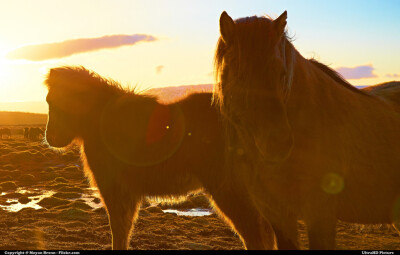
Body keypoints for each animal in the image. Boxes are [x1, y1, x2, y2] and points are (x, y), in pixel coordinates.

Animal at [43, 66, 284, 251]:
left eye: (55, 102)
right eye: (49, 100)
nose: (51, 138)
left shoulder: (116, 190)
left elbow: (119, 231)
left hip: (229, 191)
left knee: (255, 235)